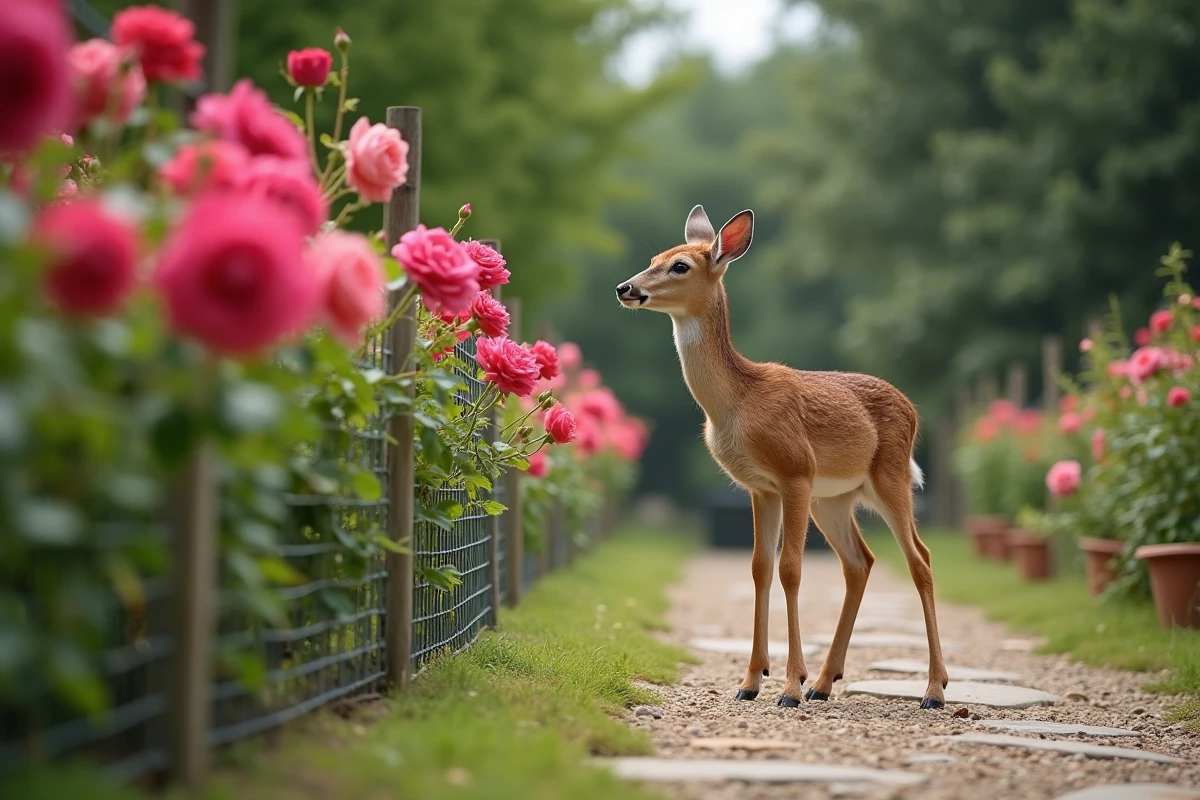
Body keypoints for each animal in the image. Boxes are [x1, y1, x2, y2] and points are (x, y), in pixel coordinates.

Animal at [615, 206, 948, 709]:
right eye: (653, 258)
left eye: (680, 266)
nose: (625, 288)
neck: (737, 403)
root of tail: (912, 411)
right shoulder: (760, 487)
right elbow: (759, 568)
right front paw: (751, 681)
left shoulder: (795, 471)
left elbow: (791, 568)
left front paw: (788, 686)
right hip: (834, 498)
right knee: (860, 562)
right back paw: (825, 683)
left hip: (888, 477)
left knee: (921, 559)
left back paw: (933, 690)